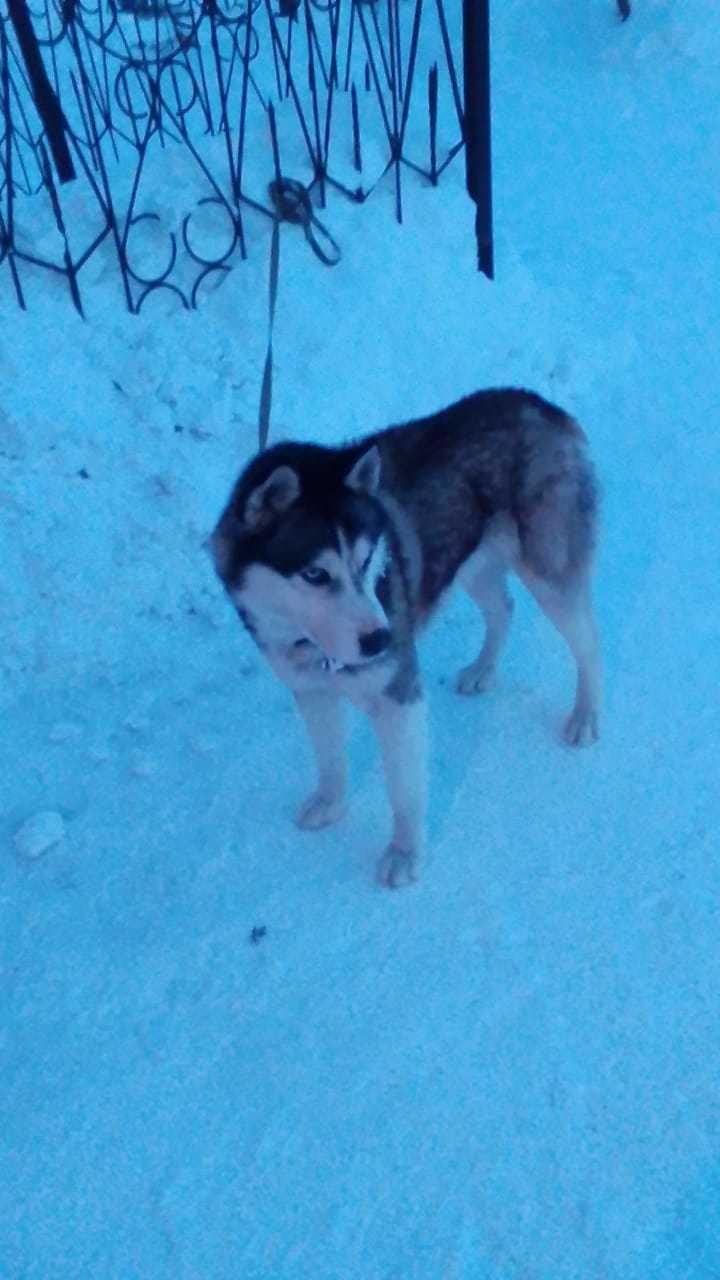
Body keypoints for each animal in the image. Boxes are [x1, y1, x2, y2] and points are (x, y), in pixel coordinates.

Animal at [210, 389, 597, 885]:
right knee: (503, 607)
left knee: (588, 641)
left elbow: (404, 790)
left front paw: (405, 854)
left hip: (549, 568)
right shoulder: (311, 689)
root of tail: (537, 402)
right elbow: (330, 757)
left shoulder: (399, 697)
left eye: (367, 560)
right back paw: (483, 669)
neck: (309, 643)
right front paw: (331, 803)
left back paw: (586, 714)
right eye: (315, 574)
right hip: (469, 559)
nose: (381, 640)